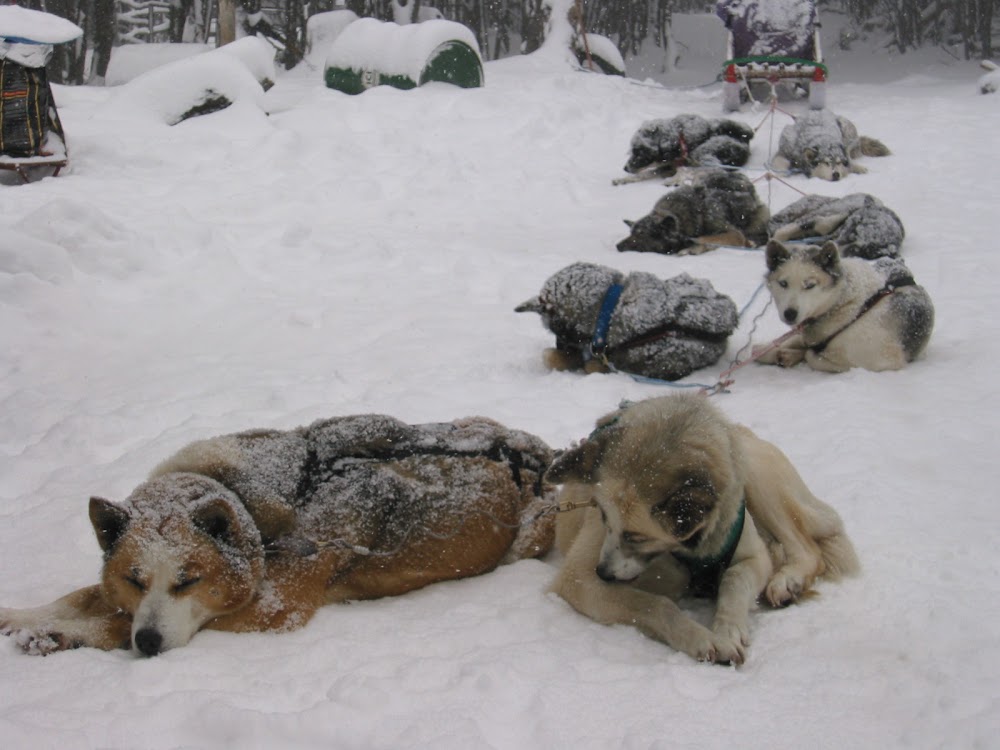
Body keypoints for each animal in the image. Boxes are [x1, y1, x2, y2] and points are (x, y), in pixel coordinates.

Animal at [0, 414, 556, 656]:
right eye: (134, 580)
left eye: (189, 580)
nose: (151, 642)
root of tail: (542, 452)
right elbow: (85, 594)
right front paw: (22, 615)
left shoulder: (274, 609)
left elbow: (115, 622)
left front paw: (63, 634)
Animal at [548, 393, 859, 664]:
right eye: (602, 515)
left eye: (636, 536)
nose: (603, 572)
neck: (691, 547)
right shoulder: (580, 581)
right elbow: (656, 604)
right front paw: (704, 639)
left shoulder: (753, 557)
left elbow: (734, 579)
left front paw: (728, 628)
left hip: (757, 478)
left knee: (806, 548)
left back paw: (787, 580)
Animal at [616, 169, 769, 255]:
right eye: (631, 233)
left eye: (641, 234)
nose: (617, 246)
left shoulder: (734, 234)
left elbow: (707, 238)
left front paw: (693, 247)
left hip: (757, 219)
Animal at [756, 239, 934, 372]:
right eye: (783, 283)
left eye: (810, 285)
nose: (790, 313)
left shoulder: (881, 361)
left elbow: (812, 357)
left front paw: (796, 354)